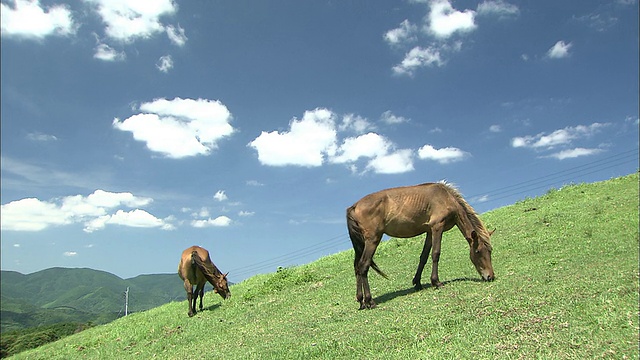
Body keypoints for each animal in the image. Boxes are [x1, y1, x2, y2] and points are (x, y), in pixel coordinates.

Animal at [348, 183, 492, 310]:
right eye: (478, 251)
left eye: (490, 251)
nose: (490, 276)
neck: (446, 197)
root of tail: (353, 207)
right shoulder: (437, 227)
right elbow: (436, 253)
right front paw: (436, 282)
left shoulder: (429, 231)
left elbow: (423, 257)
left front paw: (417, 282)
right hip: (372, 240)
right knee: (363, 266)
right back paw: (370, 301)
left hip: (361, 244)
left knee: (357, 267)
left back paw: (361, 301)